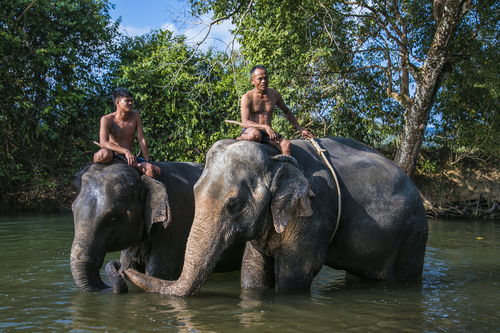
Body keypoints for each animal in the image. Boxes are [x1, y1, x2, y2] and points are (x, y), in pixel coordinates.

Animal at [71, 160, 246, 292]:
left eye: (113, 218)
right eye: (73, 209)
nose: (116, 266)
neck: (145, 178)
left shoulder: (176, 225)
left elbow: (158, 274)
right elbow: (130, 265)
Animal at [124, 137, 426, 296]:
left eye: (234, 204)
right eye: (195, 192)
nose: (124, 269)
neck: (274, 157)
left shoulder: (315, 208)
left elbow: (296, 273)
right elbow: (253, 270)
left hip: (412, 237)